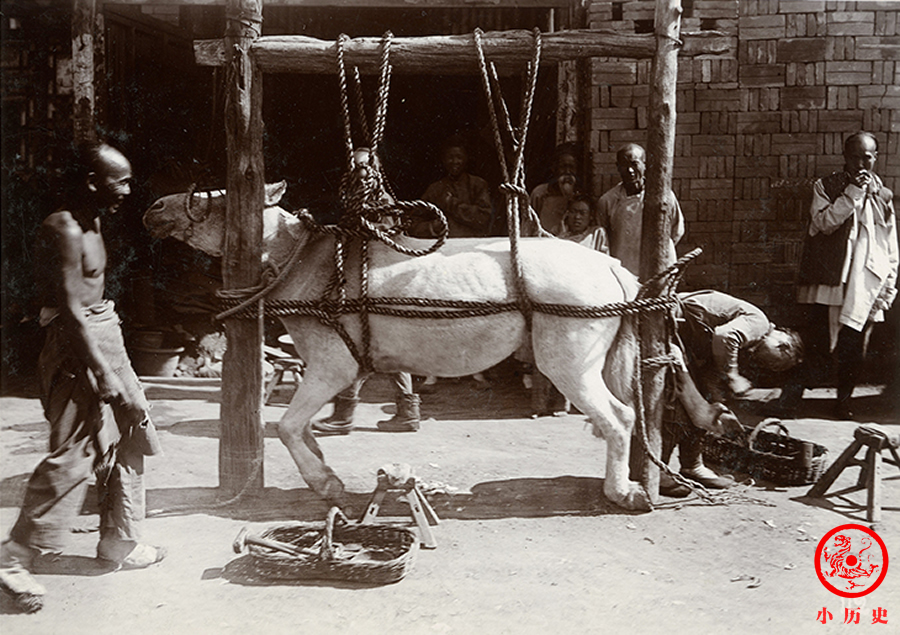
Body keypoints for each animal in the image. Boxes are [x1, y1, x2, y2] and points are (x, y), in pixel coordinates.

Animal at [142, 183, 732, 512]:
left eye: (217, 199)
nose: (153, 209)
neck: (305, 262)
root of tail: (614, 268)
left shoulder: (331, 366)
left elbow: (287, 426)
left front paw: (326, 484)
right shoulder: (342, 367)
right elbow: (303, 425)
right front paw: (327, 470)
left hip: (568, 361)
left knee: (617, 416)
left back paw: (621, 493)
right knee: (628, 414)